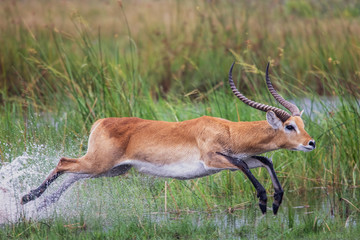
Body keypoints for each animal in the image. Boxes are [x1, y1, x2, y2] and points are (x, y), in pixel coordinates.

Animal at [20, 62, 316, 214]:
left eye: (302, 123)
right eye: (290, 126)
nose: (311, 143)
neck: (228, 130)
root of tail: (101, 121)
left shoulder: (235, 157)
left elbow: (265, 160)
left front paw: (276, 201)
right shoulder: (213, 160)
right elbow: (244, 164)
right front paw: (264, 201)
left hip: (112, 169)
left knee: (73, 175)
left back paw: (42, 204)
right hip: (99, 164)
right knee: (63, 162)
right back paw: (26, 198)